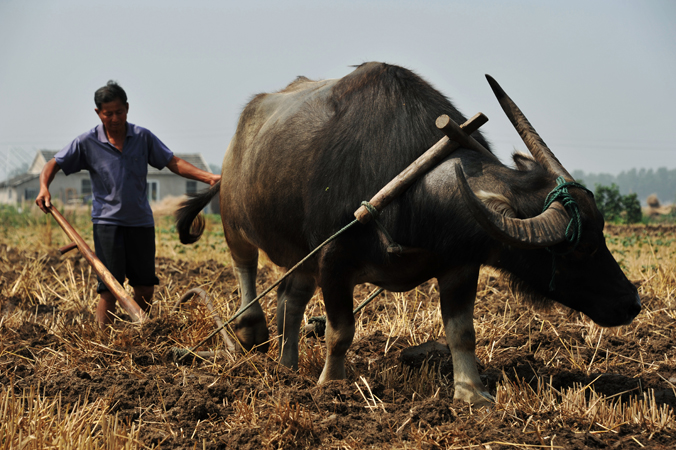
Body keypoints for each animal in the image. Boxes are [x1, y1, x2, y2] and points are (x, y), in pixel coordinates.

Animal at [177, 62, 640, 404]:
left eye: (601, 234)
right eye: (575, 249)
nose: (630, 302)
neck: (409, 192)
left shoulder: (459, 266)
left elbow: (462, 332)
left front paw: (472, 393)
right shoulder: (333, 261)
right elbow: (340, 331)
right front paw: (331, 384)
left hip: (301, 254)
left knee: (291, 299)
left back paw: (287, 365)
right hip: (235, 223)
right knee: (246, 269)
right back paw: (251, 329)